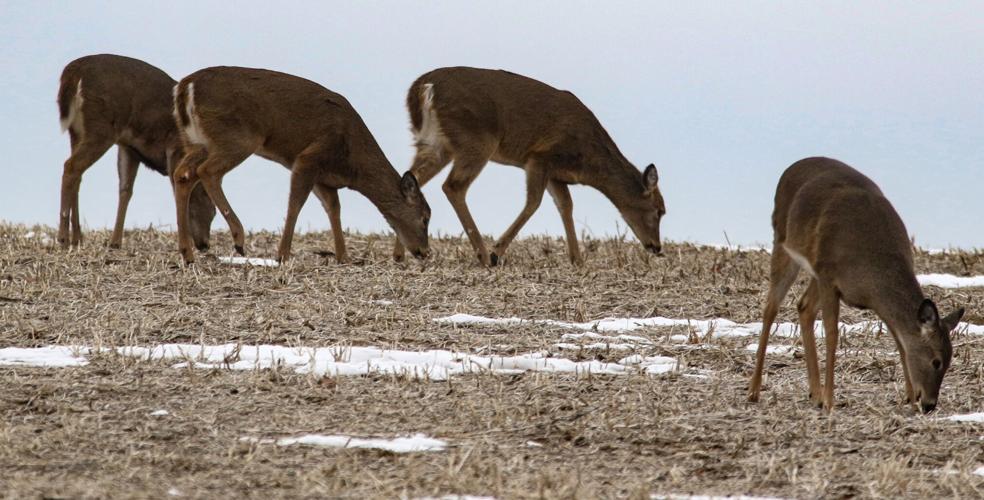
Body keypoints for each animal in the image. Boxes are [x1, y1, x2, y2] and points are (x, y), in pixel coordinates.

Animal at [57, 54, 215, 249]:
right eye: (210, 209)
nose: (204, 244)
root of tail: (73, 73)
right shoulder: (174, 149)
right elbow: (175, 187)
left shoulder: (129, 147)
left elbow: (125, 189)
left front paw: (115, 242)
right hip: (100, 129)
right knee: (71, 166)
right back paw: (63, 239)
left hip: (77, 132)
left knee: (77, 173)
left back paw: (77, 238)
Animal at [170, 66, 431, 264]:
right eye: (425, 218)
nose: (424, 252)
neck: (352, 166)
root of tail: (185, 87)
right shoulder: (309, 158)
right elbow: (296, 203)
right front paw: (283, 254)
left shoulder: (325, 179)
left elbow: (333, 209)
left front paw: (343, 256)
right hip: (238, 137)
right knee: (207, 171)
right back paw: (238, 238)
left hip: (196, 141)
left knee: (182, 175)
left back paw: (187, 252)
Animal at [391, 66, 665, 267]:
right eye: (659, 210)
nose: (656, 246)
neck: (588, 162)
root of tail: (425, 88)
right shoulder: (539, 157)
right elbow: (534, 203)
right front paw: (497, 251)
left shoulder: (556, 174)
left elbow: (565, 206)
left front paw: (577, 259)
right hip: (476, 140)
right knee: (453, 186)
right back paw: (483, 254)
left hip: (435, 144)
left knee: (410, 179)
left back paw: (402, 253)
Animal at [747, 157, 965, 413]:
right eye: (936, 361)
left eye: (949, 361)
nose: (930, 404)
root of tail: (792, 166)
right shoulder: (830, 277)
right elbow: (832, 334)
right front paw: (831, 401)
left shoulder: (865, 297)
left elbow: (899, 341)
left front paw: (910, 398)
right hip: (784, 244)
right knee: (771, 308)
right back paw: (754, 390)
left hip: (814, 271)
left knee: (804, 306)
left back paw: (815, 394)